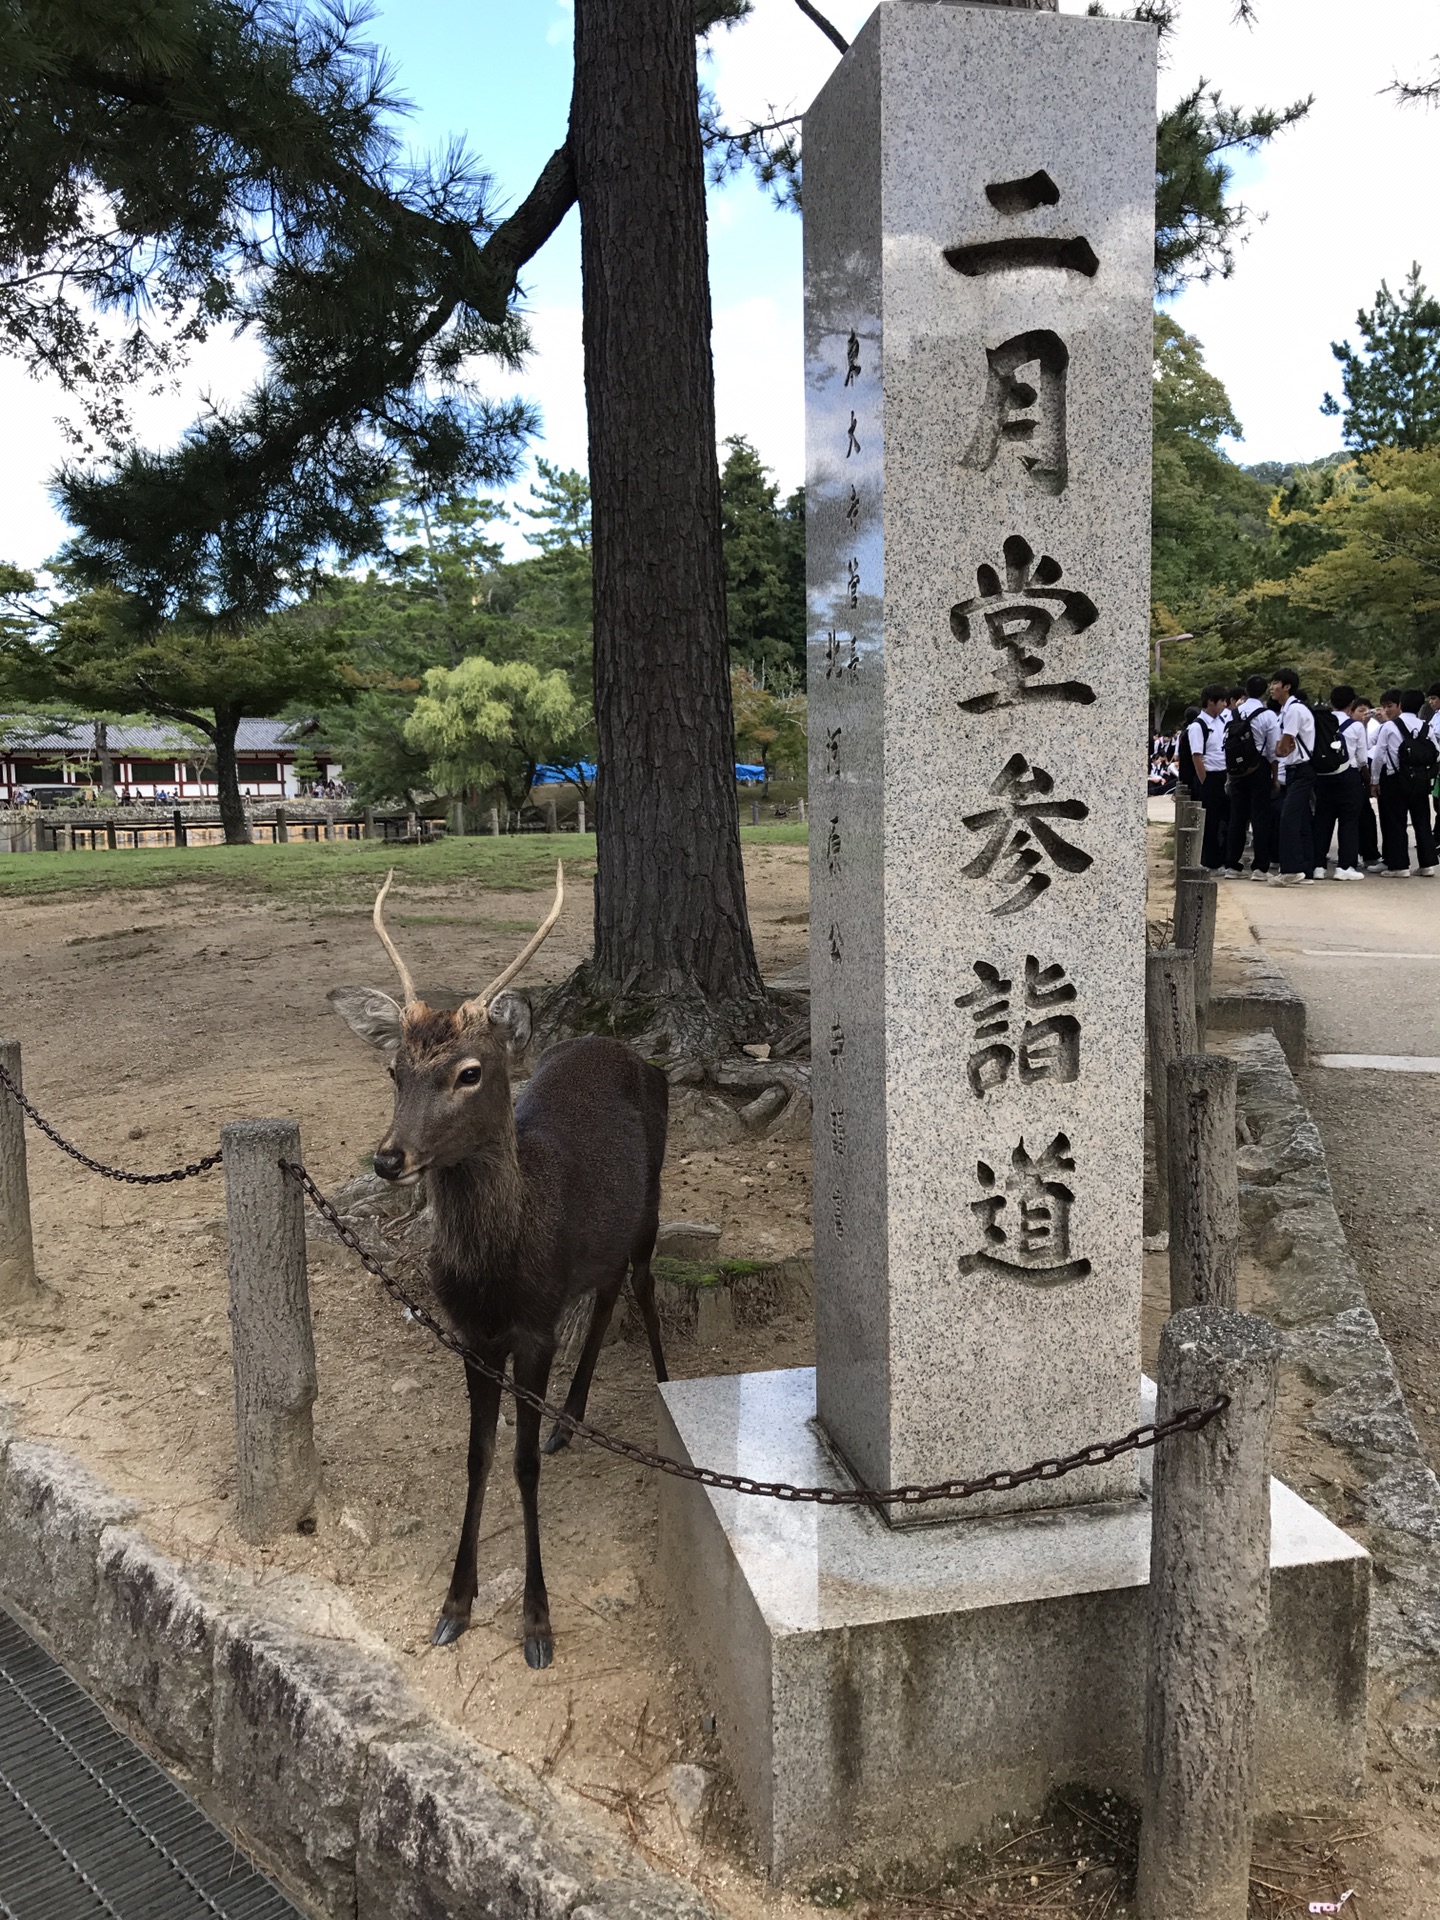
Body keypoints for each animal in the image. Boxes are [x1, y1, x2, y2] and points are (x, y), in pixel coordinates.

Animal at [326, 867, 672, 1666]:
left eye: (470, 1072)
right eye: (394, 1069)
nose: (388, 1158)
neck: (496, 1276)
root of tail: (634, 1051)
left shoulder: (534, 1328)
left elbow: (520, 1464)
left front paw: (538, 1625)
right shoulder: (471, 1336)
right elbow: (478, 1457)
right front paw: (453, 1605)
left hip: (651, 1201)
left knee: (641, 1282)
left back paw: (669, 1387)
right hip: (603, 1241)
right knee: (606, 1291)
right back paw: (568, 1422)